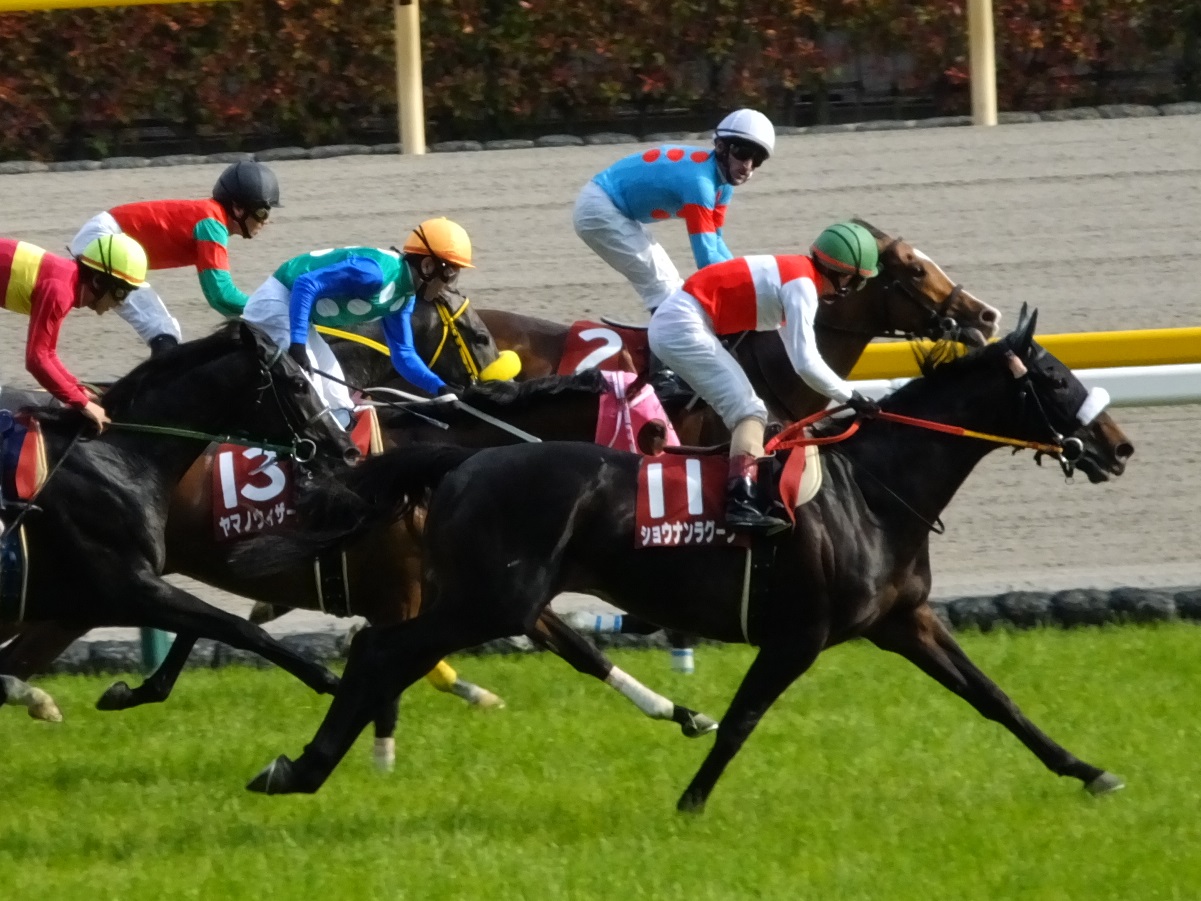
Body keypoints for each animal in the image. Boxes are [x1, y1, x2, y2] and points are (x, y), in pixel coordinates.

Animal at [0, 321, 360, 716]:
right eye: (298, 384)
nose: (346, 448)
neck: (118, 459)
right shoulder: (127, 589)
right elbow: (242, 629)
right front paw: (334, 683)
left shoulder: (86, 605)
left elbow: (205, 627)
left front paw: (127, 692)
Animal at [235, 307, 1134, 810]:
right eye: (1056, 378)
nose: (1118, 446)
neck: (871, 490)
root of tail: (461, 462)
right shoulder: (799, 635)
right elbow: (740, 719)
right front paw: (691, 800)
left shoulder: (903, 620)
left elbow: (995, 699)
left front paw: (1090, 770)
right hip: (488, 601)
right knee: (380, 652)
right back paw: (297, 770)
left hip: (487, 600)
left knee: (382, 654)